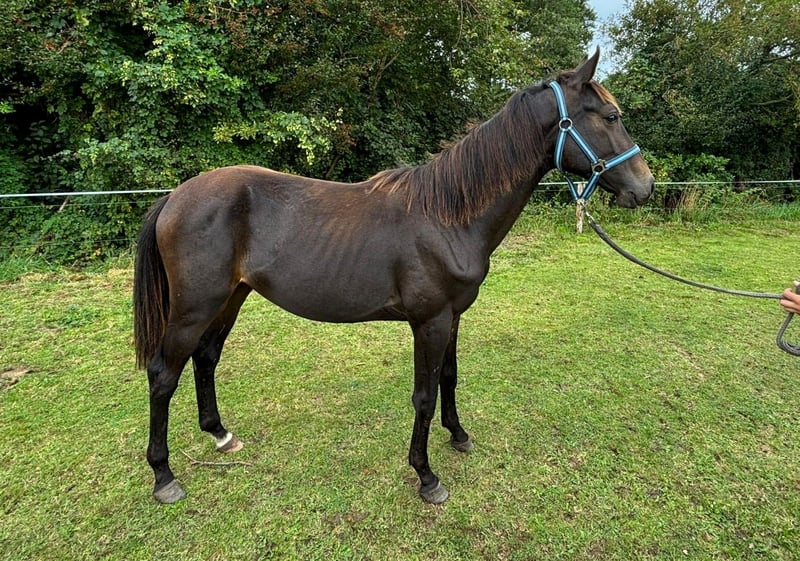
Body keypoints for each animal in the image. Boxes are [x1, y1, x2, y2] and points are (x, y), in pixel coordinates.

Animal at [133, 50, 654, 505]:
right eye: (610, 116)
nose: (645, 186)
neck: (448, 217)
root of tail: (175, 196)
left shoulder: (453, 317)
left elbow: (450, 377)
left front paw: (458, 435)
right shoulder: (430, 321)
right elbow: (423, 396)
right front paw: (426, 477)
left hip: (231, 297)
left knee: (205, 358)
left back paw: (221, 435)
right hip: (194, 307)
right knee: (163, 375)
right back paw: (164, 477)